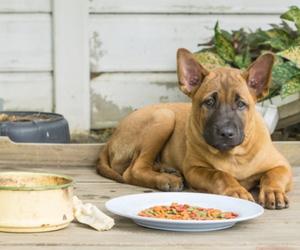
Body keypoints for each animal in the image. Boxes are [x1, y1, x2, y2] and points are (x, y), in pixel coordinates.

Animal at [98, 48, 292, 209]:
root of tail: (111, 139)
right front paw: (235, 190)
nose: (226, 133)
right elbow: (219, 174)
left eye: (241, 104)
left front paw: (273, 192)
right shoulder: (194, 169)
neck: (233, 155)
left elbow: (273, 175)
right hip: (164, 117)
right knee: (133, 169)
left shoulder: (282, 165)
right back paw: (167, 179)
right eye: (209, 102)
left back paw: (166, 169)